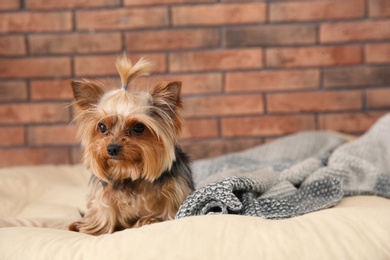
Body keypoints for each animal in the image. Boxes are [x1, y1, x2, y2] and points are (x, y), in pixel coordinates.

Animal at [69, 55, 194, 236]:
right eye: (102, 127)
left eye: (138, 127)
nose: (112, 148)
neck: (129, 172)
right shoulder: (103, 195)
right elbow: (104, 211)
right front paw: (91, 227)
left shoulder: (175, 190)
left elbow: (168, 212)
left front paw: (149, 220)